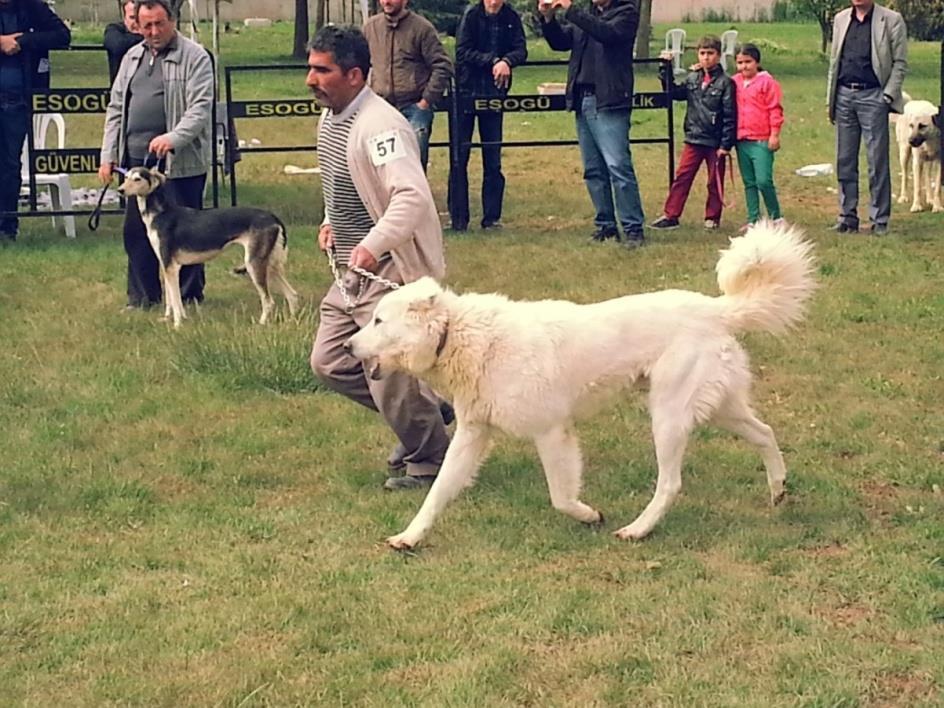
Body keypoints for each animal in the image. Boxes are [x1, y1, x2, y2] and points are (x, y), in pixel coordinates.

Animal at [116, 167, 298, 330]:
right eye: (126, 177)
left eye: (137, 179)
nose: (120, 190)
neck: (160, 214)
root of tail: (273, 217)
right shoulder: (167, 265)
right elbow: (172, 299)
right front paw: (171, 319)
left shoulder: (170, 267)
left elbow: (175, 299)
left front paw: (177, 325)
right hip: (270, 265)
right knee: (292, 295)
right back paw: (292, 321)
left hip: (254, 264)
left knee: (269, 301)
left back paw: (261, 324)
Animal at [348, 224, 820, 552]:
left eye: (378, 321)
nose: (350, 346)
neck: (458, 335)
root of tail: (717, 309)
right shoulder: (472, 435)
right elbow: (437, 493)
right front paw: (408, 538)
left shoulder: (552, 432)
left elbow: (560, 497)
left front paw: (589, 515)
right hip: (719, 406)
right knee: (765, 434)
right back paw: (778, 490)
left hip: (668, 416)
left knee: (670, 482)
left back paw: (636, 529)